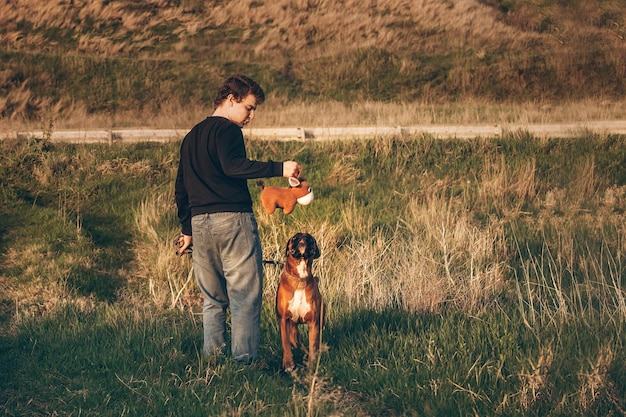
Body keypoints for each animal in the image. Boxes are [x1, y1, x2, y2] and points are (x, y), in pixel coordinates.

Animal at [276, 232, 322, 372]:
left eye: (310, 238)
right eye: (295, 238)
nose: (303, 238)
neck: (300, 280)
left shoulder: (313, 322)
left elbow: (313, 345)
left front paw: (312, 364)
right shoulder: (283, 320)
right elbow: (285, 343)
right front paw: (288, 363)